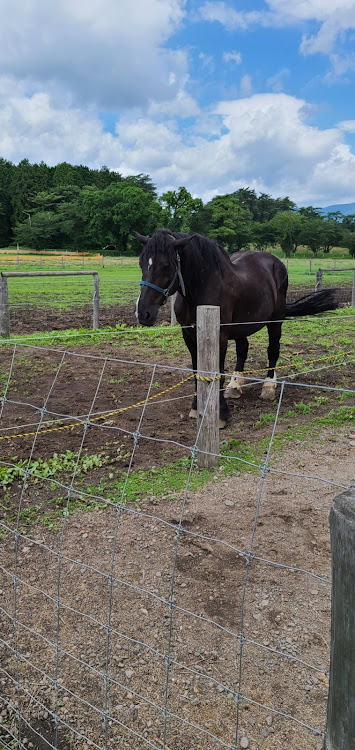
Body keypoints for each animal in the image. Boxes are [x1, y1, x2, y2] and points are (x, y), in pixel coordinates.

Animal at [133, 228, 336, 428]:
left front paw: (221, 414)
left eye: (166, 265)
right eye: (141, 263)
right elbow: (197, 372)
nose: (143, 313)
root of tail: (275, 262)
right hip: (241, 326)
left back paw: (269, 386)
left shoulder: (220, 336)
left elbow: (218, 373)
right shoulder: (189, 335)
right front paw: (196, 407)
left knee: (273, 349)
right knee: (243, 350)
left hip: (275, 321)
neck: (202, 288)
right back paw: (235, 385)